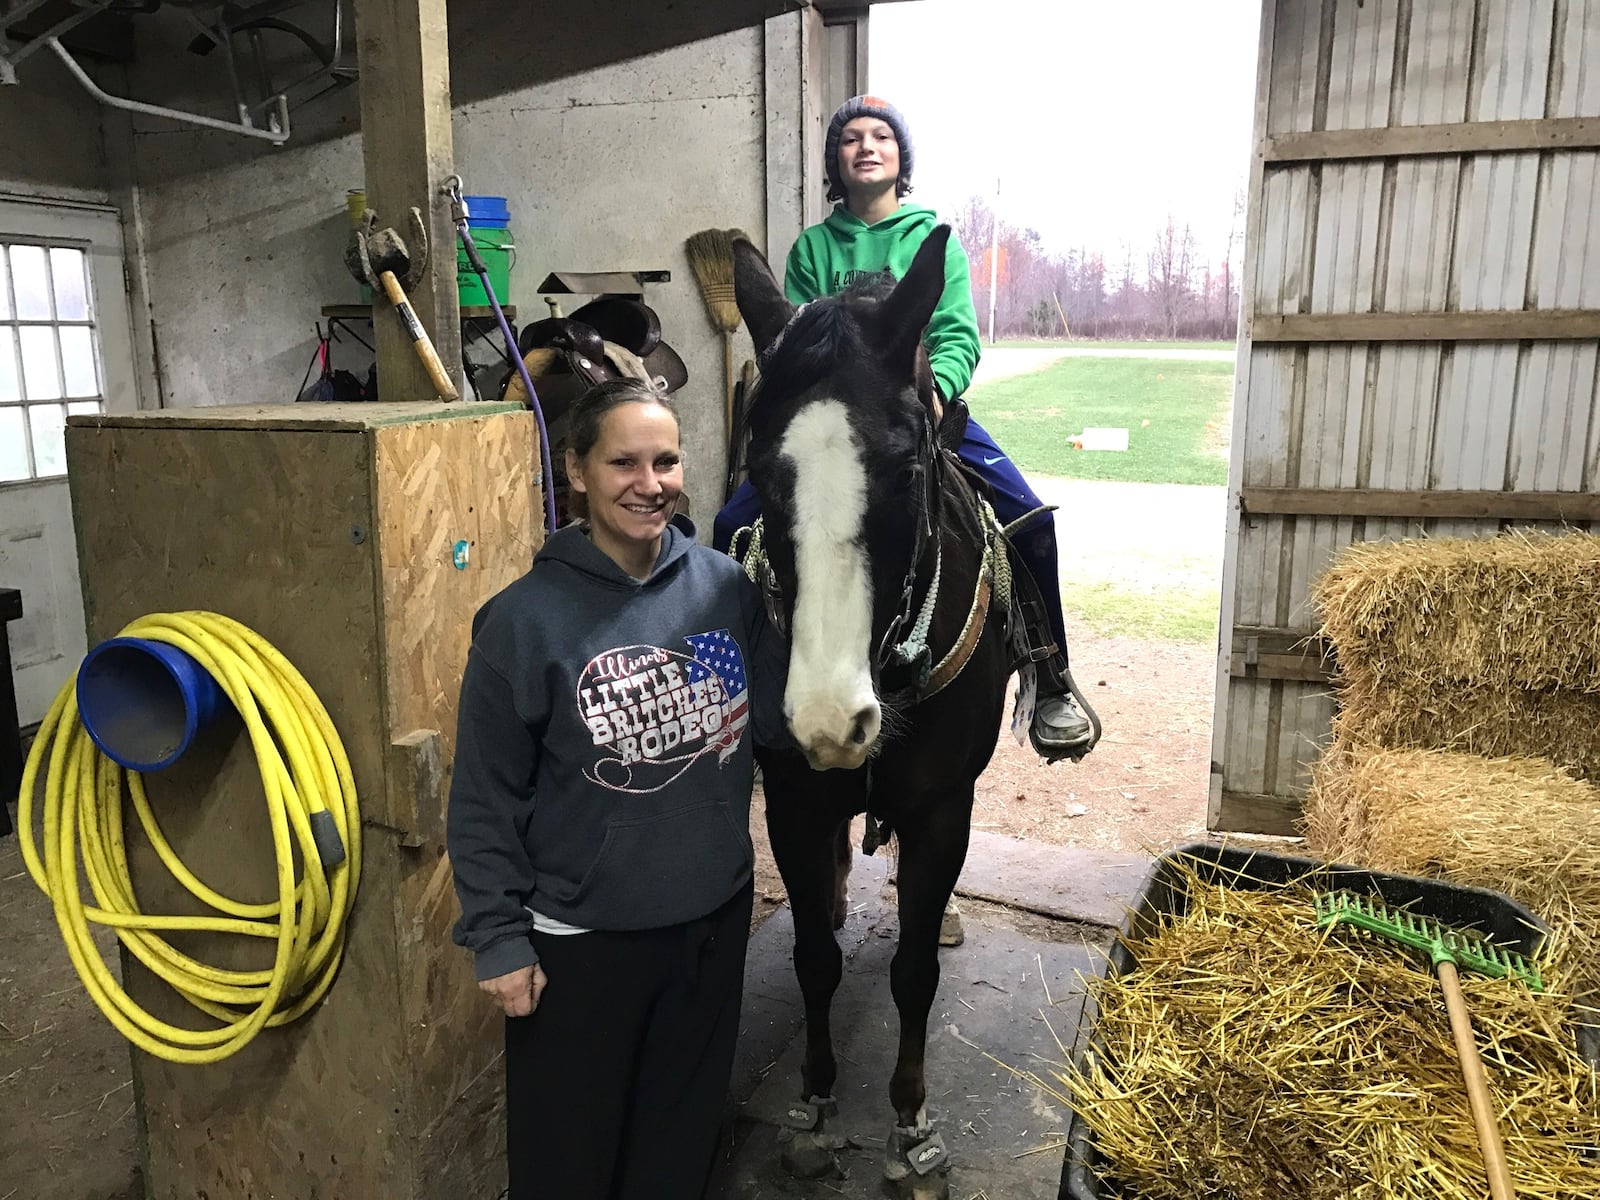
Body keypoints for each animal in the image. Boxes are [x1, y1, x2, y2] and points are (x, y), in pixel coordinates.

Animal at [732, 230, 1004, 1196]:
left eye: (905, 466)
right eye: (760, 472)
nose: (826, 720)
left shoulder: (942, 810)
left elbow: (913, 971)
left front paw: (911, 1129)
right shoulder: (792, 802)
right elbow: (816, 957)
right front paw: (813, 1108)